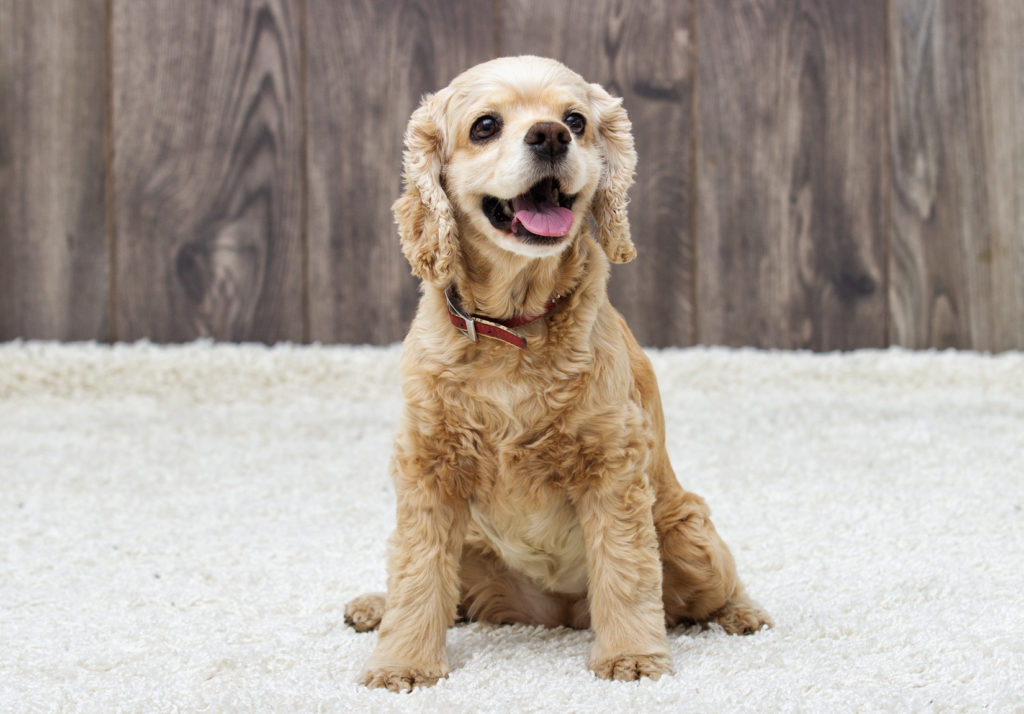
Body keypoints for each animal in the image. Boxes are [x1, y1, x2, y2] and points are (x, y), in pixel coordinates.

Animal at [344, 55, 770, 692]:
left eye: (575, 120)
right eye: (485, 126)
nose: (550, 135)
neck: (514, 329)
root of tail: (558, 614)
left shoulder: (613, 466)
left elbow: (625, 569)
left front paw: (631, 657)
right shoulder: (430, 464)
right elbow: (417, 572)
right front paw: (404, 663)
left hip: (689, 536)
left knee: (715, 586)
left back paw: (744, 614)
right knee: (444, 590)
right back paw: (374, 605)